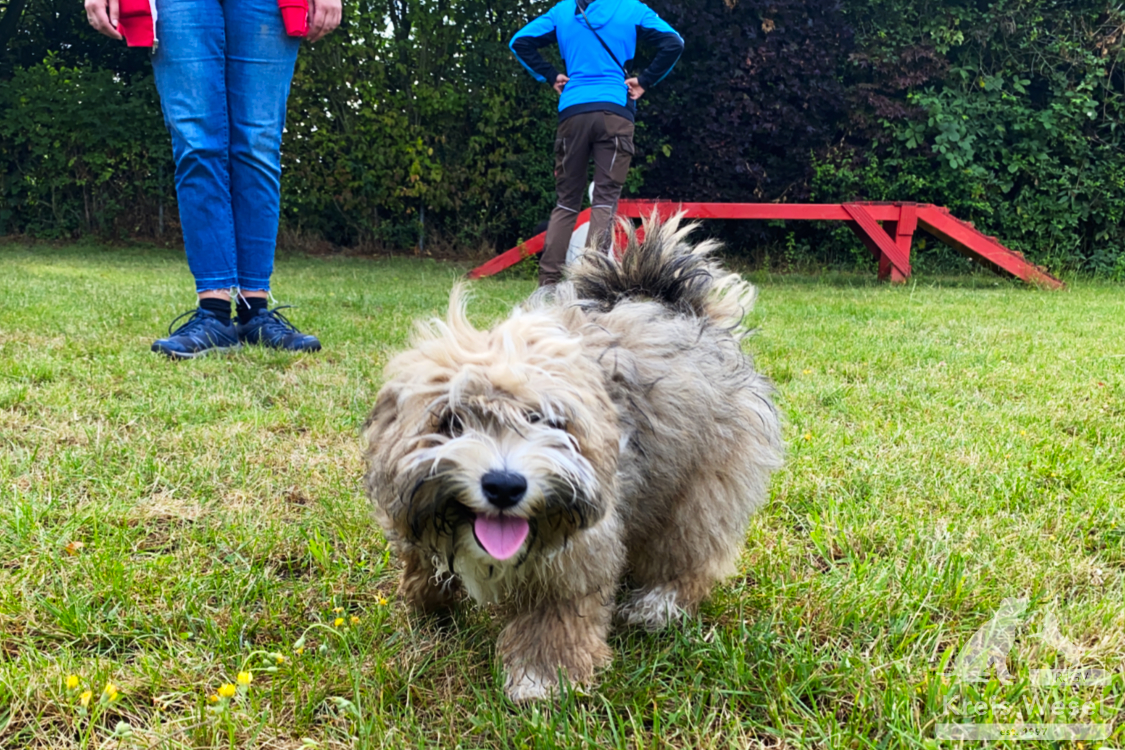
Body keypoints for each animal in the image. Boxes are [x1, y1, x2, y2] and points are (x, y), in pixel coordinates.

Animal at [362, 215, 783, 706]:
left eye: (545, 420)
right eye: (452, 421)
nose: (505, 485)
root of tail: (689, 313)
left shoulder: (579, 551)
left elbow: (556, 612)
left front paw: (540, 677)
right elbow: (422, 561)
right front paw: (429, 605)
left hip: (700, 485)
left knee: (688, 550)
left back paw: (657, 604)